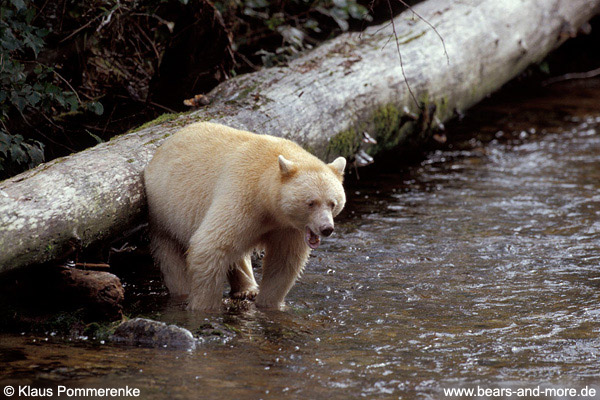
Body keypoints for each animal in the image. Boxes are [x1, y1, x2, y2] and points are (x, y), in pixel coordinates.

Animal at [142, 123, 344, 310]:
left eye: (333, 203)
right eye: (311, 203)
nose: (326, 228)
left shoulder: (288, 227)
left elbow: (282, 262)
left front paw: (269, 304)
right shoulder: (242, 196)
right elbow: (210, 246)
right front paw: (203, 306)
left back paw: (247, 288)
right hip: (163, 212)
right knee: (172, 256)